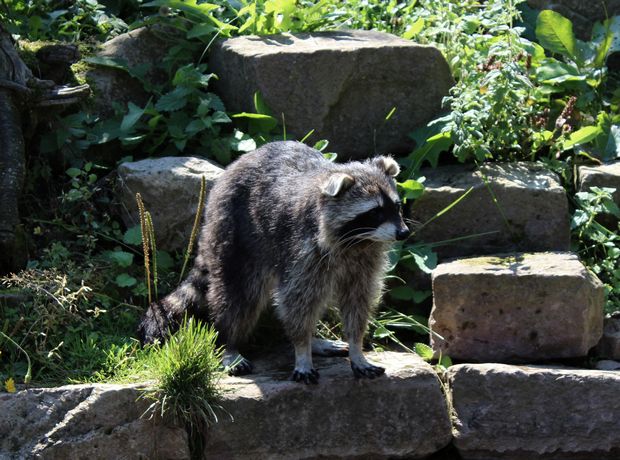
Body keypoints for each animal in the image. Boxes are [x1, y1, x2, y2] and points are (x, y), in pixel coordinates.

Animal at [140, 141, 412, 384]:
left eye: (397, 207)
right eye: (375, 212)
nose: (404, 233)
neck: (357, 241)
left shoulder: (365, 261)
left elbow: (358, 301)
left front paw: (356, 347)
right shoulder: (303, 250)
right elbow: (296, 300)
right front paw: (301, 350)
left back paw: (314, 340)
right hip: (233, 231)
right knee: (240, 295)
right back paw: (229, 341)